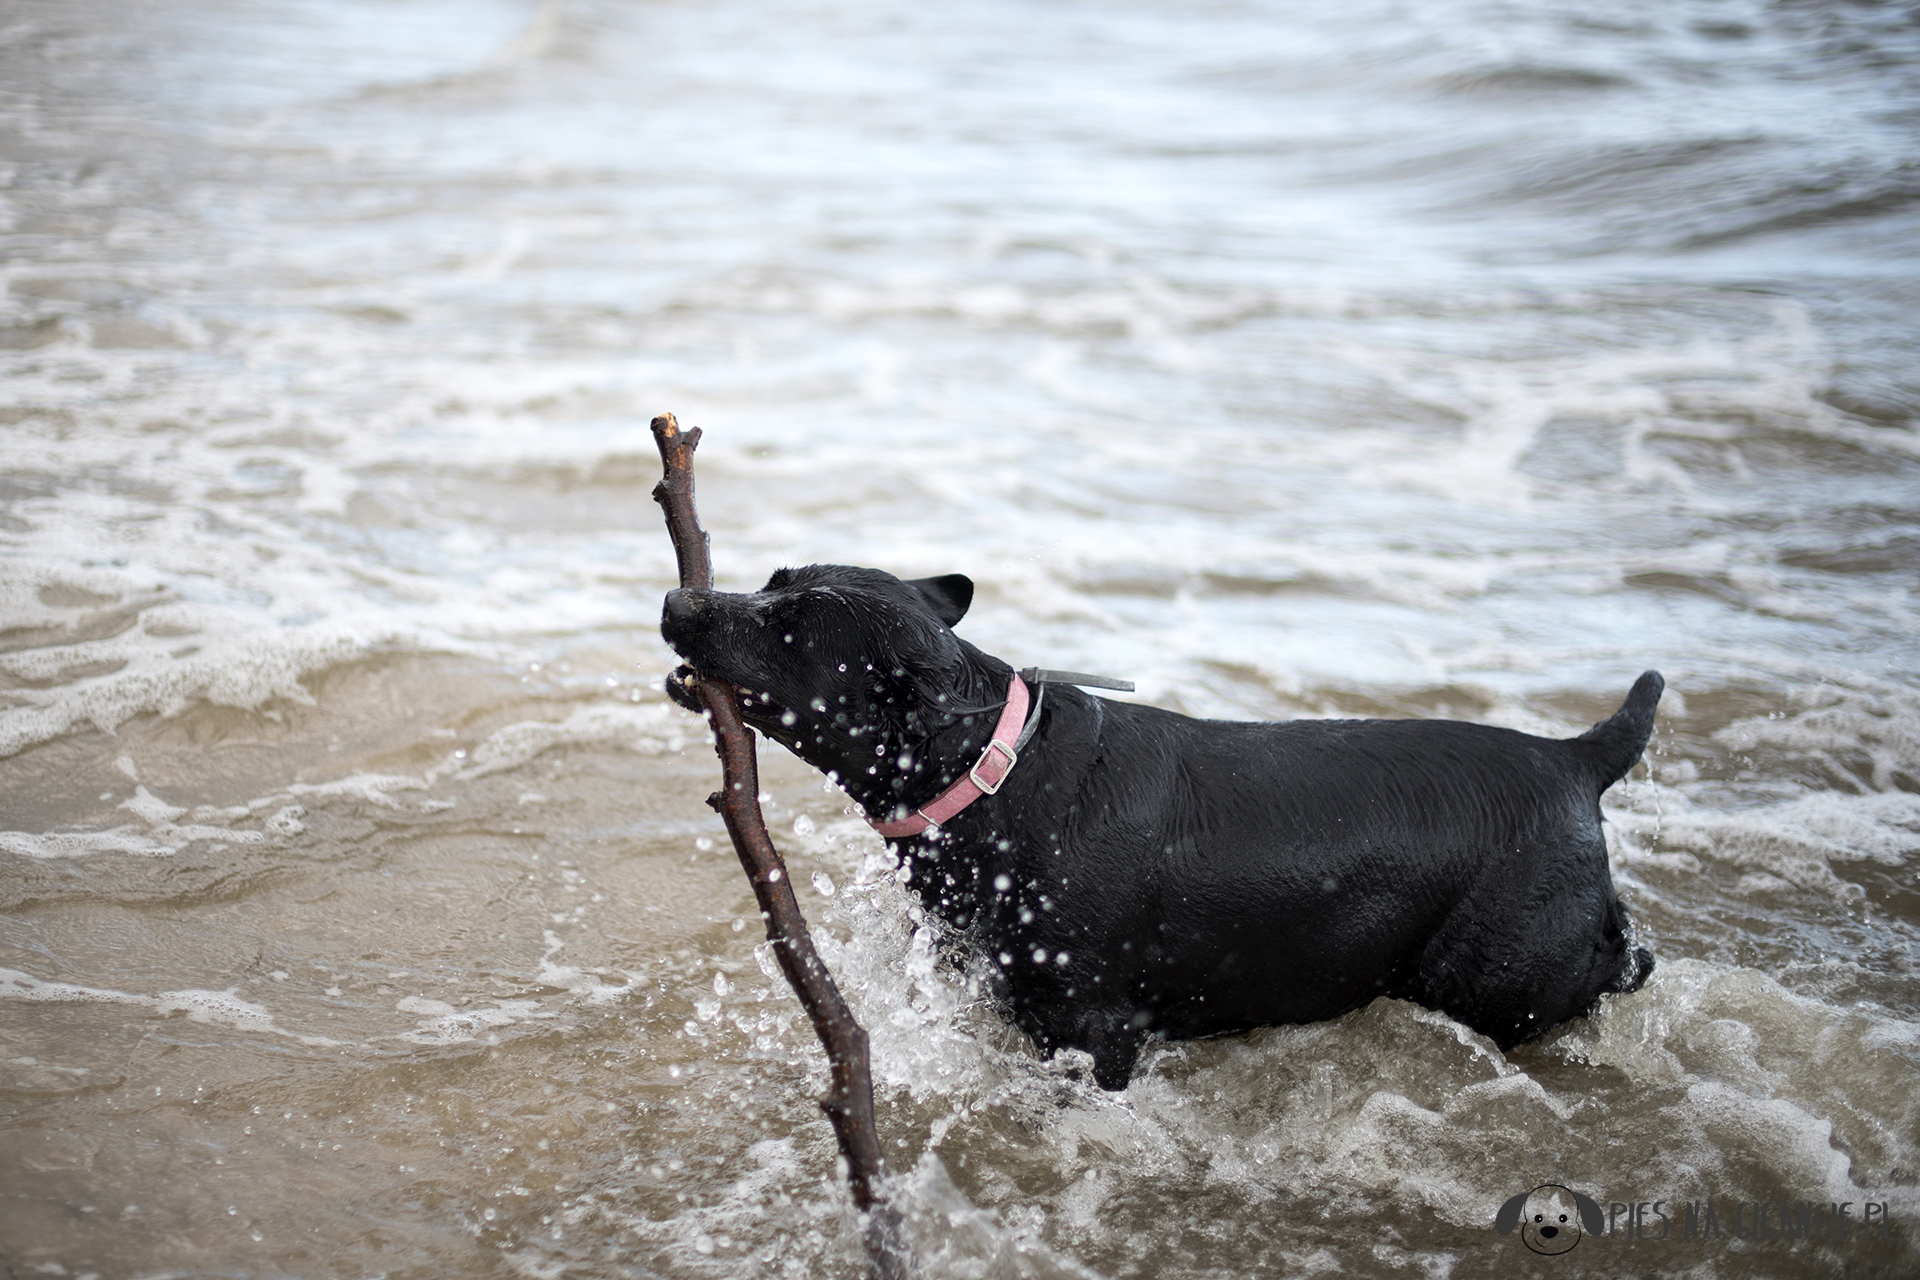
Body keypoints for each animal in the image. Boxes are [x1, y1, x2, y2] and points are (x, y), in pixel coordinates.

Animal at [656, 564, 1651, 1090]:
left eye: (792, 631)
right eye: (772, 581)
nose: (678, 602)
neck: (994, 774)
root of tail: (1576, 759)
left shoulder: (1093, 1031)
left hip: (1507, 979)